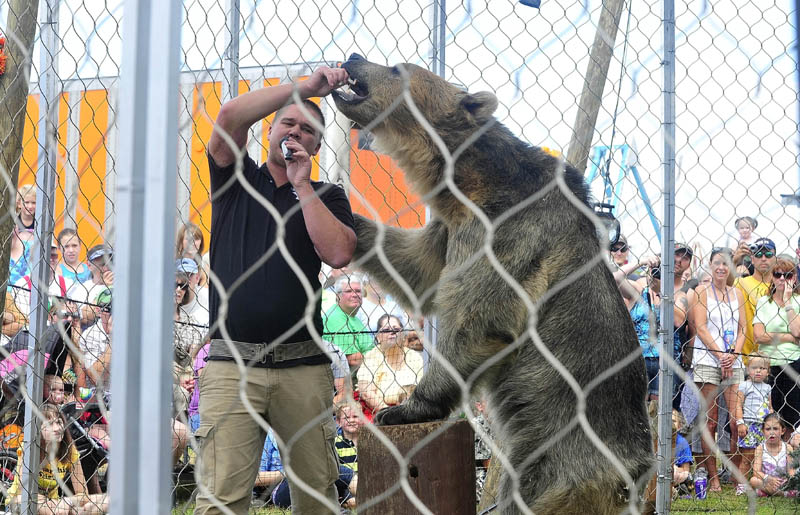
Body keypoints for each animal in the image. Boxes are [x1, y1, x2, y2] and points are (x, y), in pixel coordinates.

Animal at [334, 54, 652, 512]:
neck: (468, 184)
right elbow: (417, 267)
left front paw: (405, 409)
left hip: (562, 459)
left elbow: (475, 317)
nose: (354, 57)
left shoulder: (507, 235)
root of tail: (636, 476)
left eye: (397, 68)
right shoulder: (452, 229)